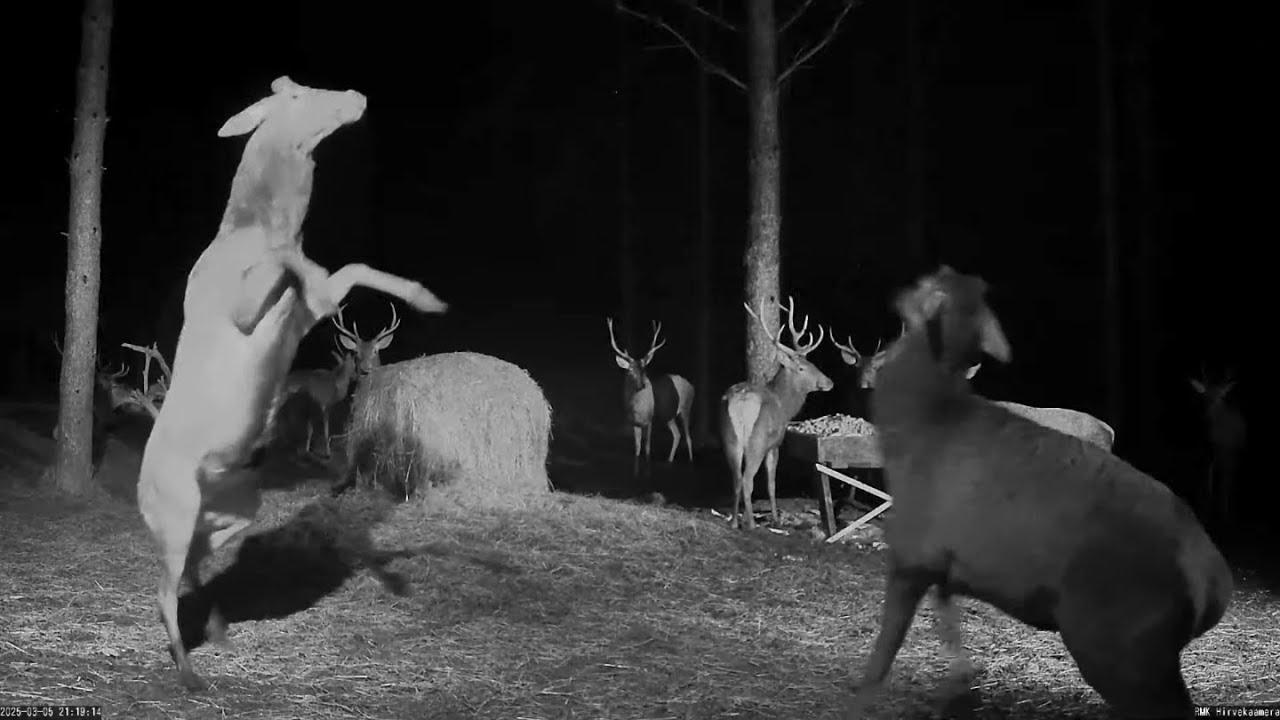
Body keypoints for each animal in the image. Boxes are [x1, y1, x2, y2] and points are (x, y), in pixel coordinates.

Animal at [136, 76, 448, 692]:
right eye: (296, 94)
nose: (354, 94)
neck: (250, 227)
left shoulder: (305, 312)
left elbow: (346, 270)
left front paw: (424, 296)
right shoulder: (241, 309)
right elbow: (306, 264)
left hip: (231, 513)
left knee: (196, 570)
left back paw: (217, 630)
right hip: (176, 513)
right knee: (161, 590)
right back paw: (188, 671)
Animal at [606, 318, 696, 477]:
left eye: (644, 369)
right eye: (630, 370)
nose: (642, 384)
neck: (636, 408)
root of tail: (692, 385)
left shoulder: (649, 420)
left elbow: (647, 449)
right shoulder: (634, 423)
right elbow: (637, 449)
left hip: (686, 408)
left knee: (689, 438)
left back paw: (690, 462)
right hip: (668, 416)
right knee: (677, 435)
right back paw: (669, 461)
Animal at [719, 296, 833, 530]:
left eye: (811, 362)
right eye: (801, 368)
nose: (828, 382)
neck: (785, 406)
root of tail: (740, 402)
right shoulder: (775, 443)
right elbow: (772, 484)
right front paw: (776, 518)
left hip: (729, 438)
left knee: (736, 479)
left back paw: (735, 522)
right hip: (756, 442)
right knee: (747, 480)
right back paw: (751, 524)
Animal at [850, 266, 1231, 719]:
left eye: (927, 284)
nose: (895, 291)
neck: (922, 418)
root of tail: (1214, 584)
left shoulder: (911, 556)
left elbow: (883, 650)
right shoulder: (945, 568)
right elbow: (949, 628)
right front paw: (961, 685)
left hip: (1119, 644)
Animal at [1189, 368, 1246, 527]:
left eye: (1220, 396)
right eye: (1205, 395)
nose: (1208, 409)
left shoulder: (1227, 450)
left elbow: (1224, 481)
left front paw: (1224, 515)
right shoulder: (1209, 452)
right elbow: (1209, 478)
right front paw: (1206, 512)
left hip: (1234, 453)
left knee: (1229, 476)